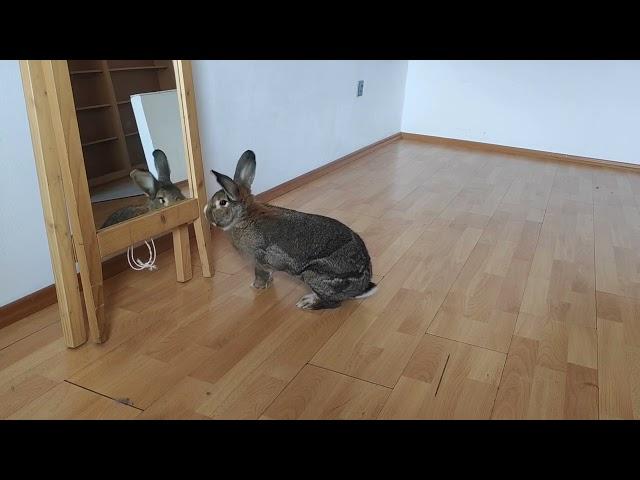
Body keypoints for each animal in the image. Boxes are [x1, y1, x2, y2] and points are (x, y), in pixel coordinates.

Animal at [205, 150, 378, 312]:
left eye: (222, 203)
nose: (206, 214)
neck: (244, 217)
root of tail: (362, 285)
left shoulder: (259, 259)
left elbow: (260, 273)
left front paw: (257, 286)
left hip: (313, 275)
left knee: (334, 303)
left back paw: (307, 303)